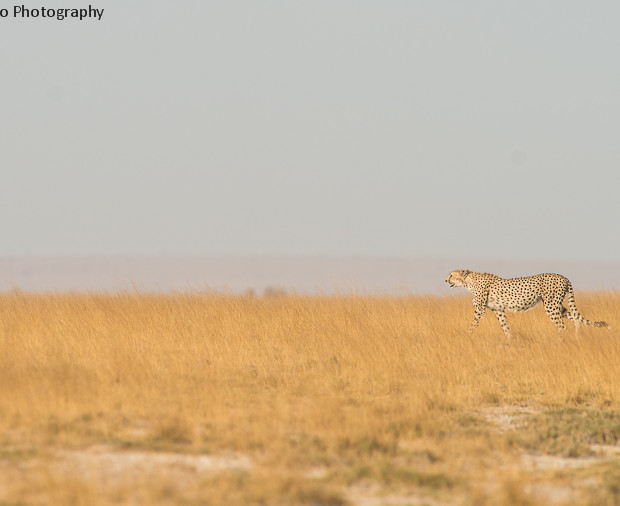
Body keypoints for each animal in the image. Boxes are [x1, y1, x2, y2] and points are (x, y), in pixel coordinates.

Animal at [446, 270, 612, 338]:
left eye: (451, 275)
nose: (446, 280)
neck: (469, 282)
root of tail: (563, 277)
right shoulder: (498, 310)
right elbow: (505, 326)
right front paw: (511, 340)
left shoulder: (480, 310)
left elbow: (472, 325)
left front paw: (467, 337)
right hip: (557, 305)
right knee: (575, 319)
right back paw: (577, 337)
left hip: (551, 306)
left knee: (562, 327)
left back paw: (561, 341)